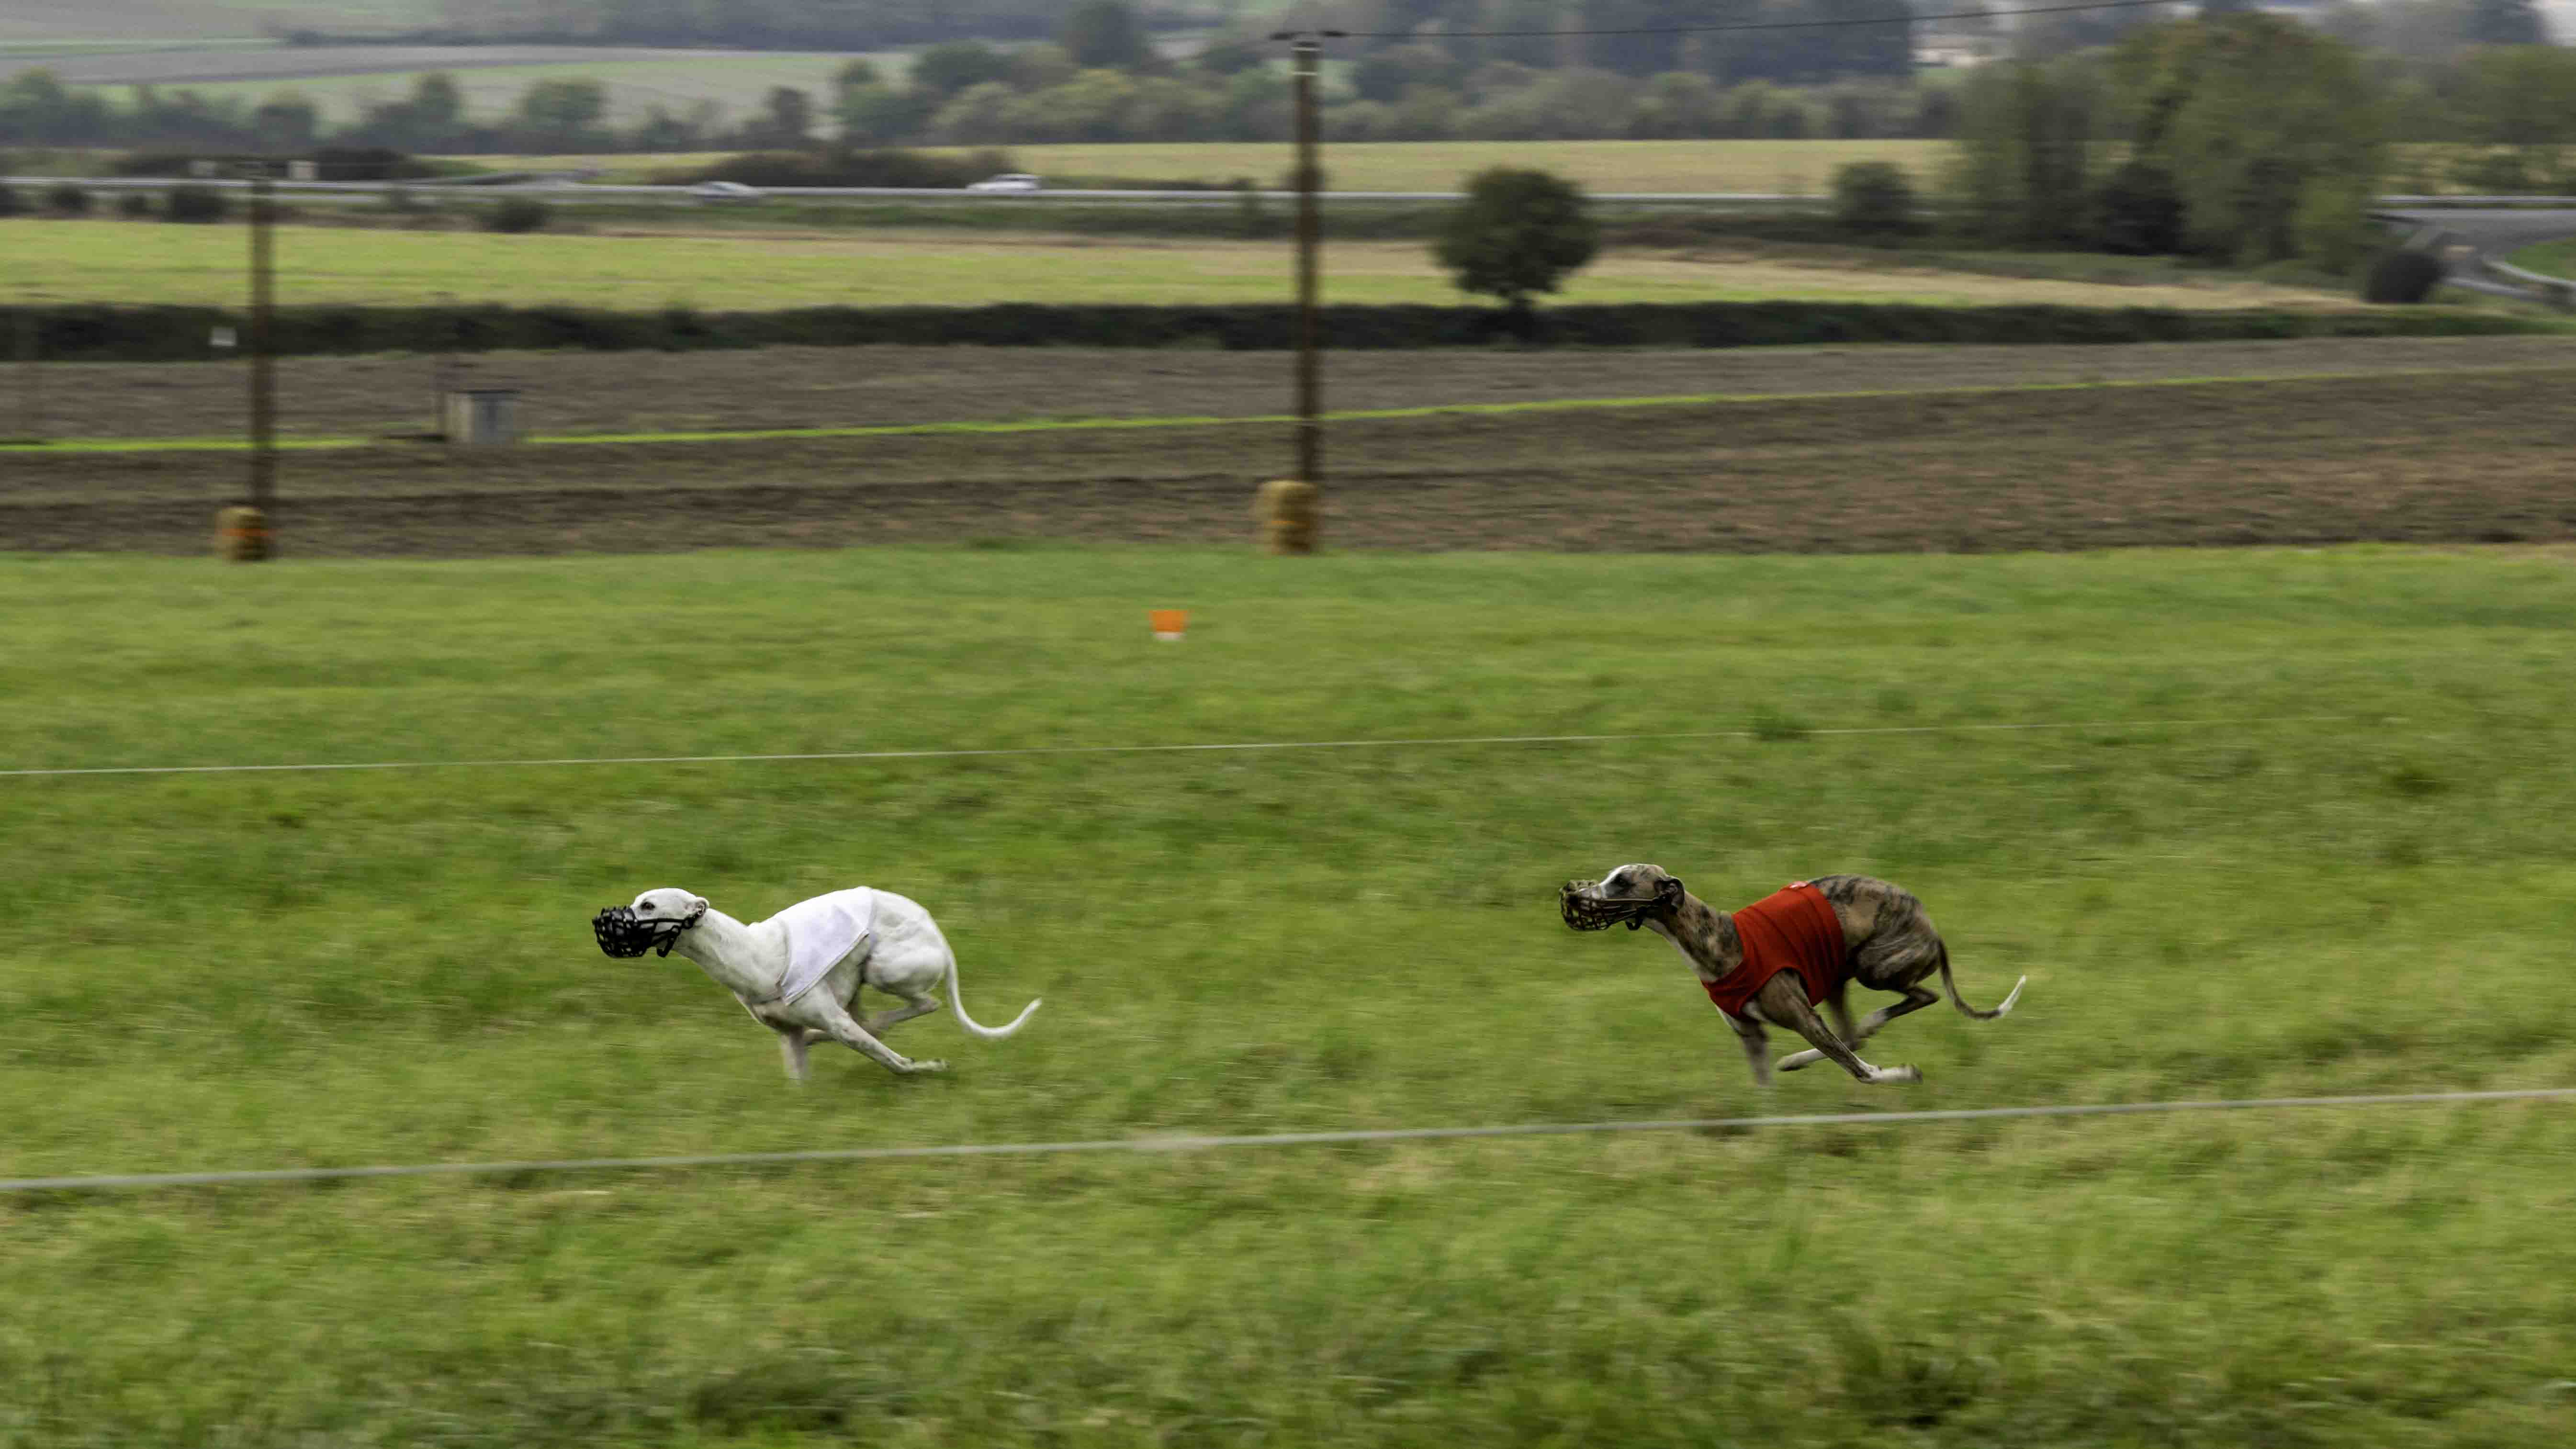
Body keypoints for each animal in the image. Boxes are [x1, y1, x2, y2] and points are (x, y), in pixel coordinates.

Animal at [597, 885, 1040, 1076]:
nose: (600, 924)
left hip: (883, 968)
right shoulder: (788, 1035)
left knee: (922, 1004)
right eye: (636, 900)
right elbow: (798, 1071)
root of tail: (938, 934)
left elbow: (894, 1062)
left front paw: (926, 1065)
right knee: (869, 1018)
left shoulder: (835, 1021)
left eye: (648, 905)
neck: (750, 954)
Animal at [1556, 859, 2019, 1091]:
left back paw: (1868, 1028)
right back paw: (1801, 1058)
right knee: (1850, 1034)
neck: (1720, 939)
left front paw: (1904, 1073)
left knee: (1917, 1001)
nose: (1575, 897)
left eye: (1622, 881)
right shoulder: (1751, 1035)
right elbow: (1765, 1091)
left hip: (1873, 966)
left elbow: (1861, 1072)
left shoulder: (1801, 1016)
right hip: (1836, 978)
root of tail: (1931, 927)